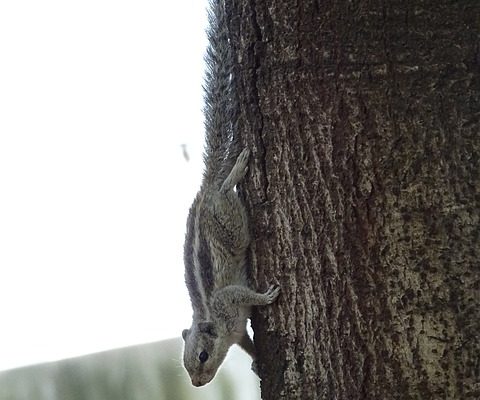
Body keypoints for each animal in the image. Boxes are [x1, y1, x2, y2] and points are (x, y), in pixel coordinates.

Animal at [183, 0, 282, 390]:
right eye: (186, 366)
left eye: (202, 356)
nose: (197, 385)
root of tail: (206, 187)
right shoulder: (237, 332)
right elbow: (250, 345)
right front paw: (256, 363)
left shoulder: (228, 302)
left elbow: (243, 294)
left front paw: (265, 295)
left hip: (229, 222)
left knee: (228, 194)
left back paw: (235, 173)